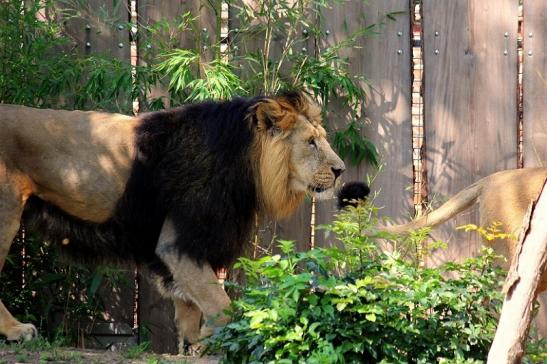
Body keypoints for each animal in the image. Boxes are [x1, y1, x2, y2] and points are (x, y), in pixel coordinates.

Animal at [0, 90, 344, 350]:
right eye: (311, 142)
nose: (340, 170)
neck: (246, 162)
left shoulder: (190, 247)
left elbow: (191, 308)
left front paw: (195, 343)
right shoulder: (178, 239)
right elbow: (222, 306)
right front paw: (214, 338)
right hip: (6, 212)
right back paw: (17, 331)